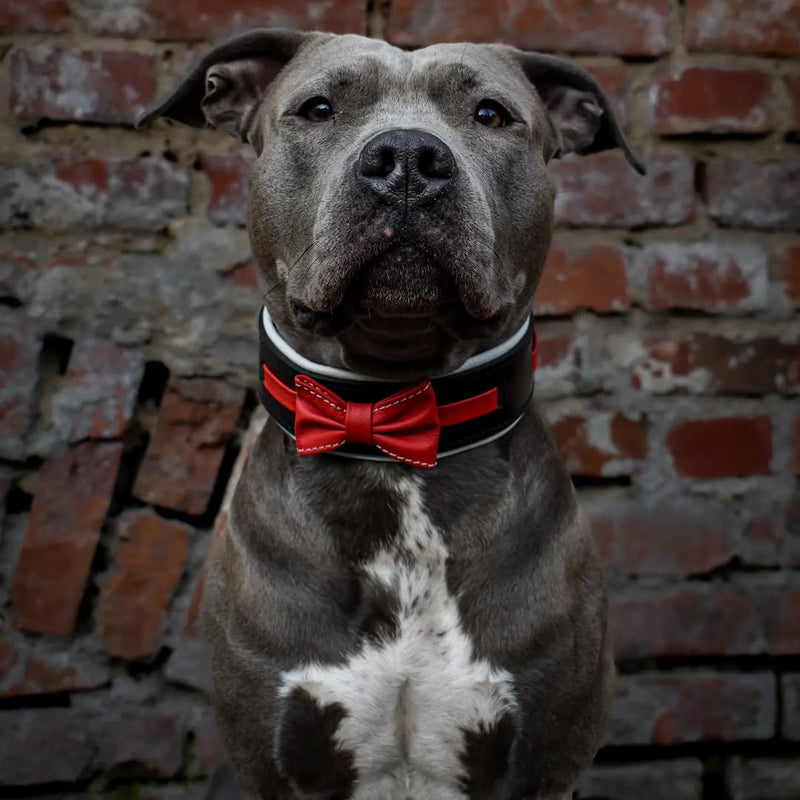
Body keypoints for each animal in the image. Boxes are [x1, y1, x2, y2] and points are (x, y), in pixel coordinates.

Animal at [141, 28, 644, 800]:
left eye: (491, 114)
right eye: (318, 108)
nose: (407, 156)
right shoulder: (271, 759)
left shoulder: (545, 761)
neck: (386, 418)